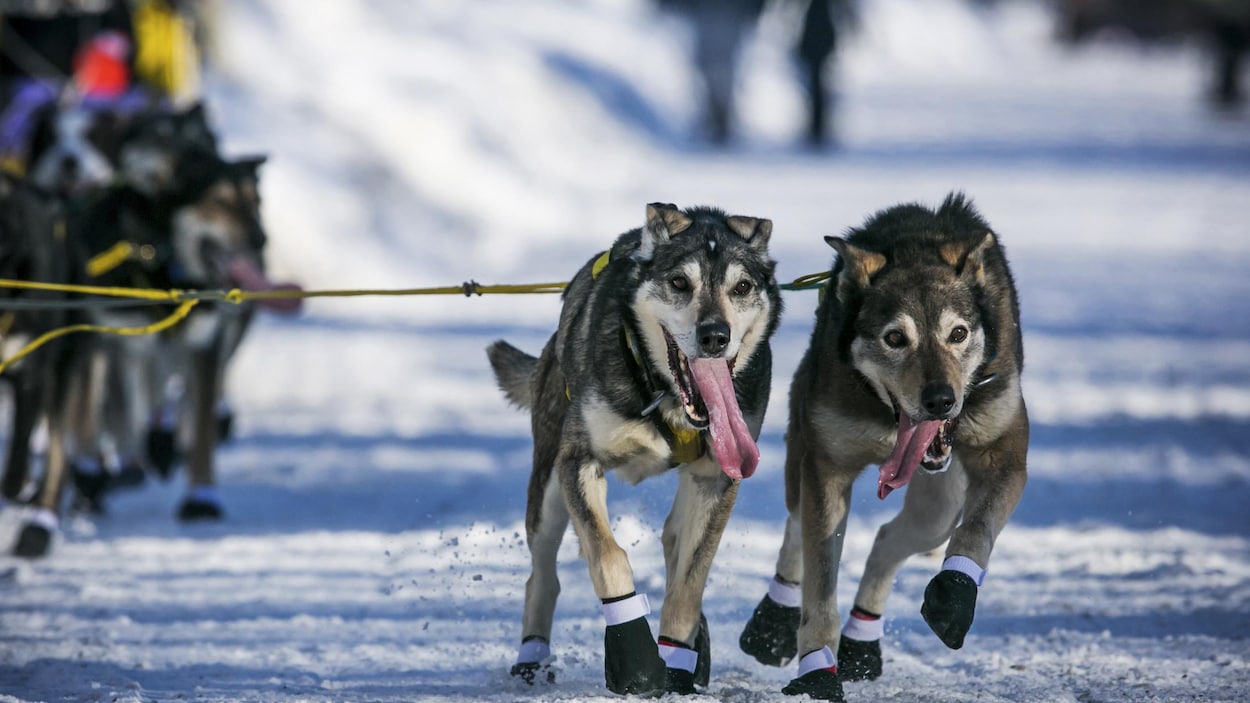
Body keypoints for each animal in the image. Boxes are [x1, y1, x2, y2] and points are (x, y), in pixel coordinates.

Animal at [487, 202, 780, 695]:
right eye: (679, 282)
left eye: (741, 287)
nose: (715, 336)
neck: (666, 398)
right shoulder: (579, 461)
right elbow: (608, 556)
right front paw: (635, 656)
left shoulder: (717, 478)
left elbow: (688, 583)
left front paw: (677, 661)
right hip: (547, 488)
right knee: (542, 575)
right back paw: (532, 658)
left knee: (674, 541)